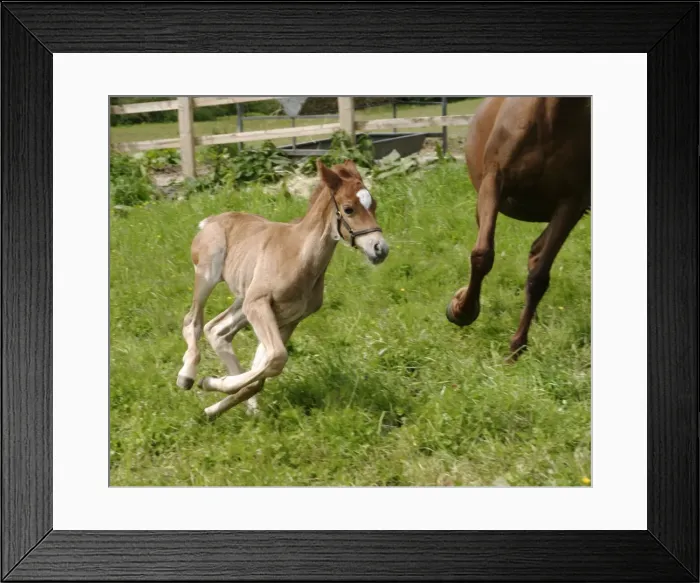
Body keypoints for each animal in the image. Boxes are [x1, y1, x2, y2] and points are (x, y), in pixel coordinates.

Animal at [176, 158, 389, 419]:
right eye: (349, 209)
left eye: (374, 204)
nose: (380, 248)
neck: (299, 255)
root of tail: (211, 220)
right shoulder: (259, 304)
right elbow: (277, 357)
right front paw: (211, 383)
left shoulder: (289, 318)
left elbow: (265, 368)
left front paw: (214, 403)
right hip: (209, 275)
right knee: (193, 321)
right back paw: (186, 375)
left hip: (243, 300)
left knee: (217, 329)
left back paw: (247, 407)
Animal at [446, 96, 591, 360]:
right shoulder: (494, 180)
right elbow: (482, 256)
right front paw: (461, 310)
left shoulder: (572, 202)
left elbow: (539, 276)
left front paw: (516, 347)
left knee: (536, 254)